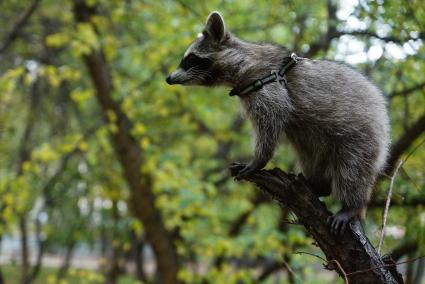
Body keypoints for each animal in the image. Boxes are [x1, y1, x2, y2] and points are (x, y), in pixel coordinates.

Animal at [164, 11, 390, 233]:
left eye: (190, 59)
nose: (168, 78)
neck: (244, 63)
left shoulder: (268, 87)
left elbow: (270, 123)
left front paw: (259, 158)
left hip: (361, 133)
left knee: (353, 169)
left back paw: (352, 205)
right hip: (317, 141)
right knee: (311, 156)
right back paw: (317, 184)